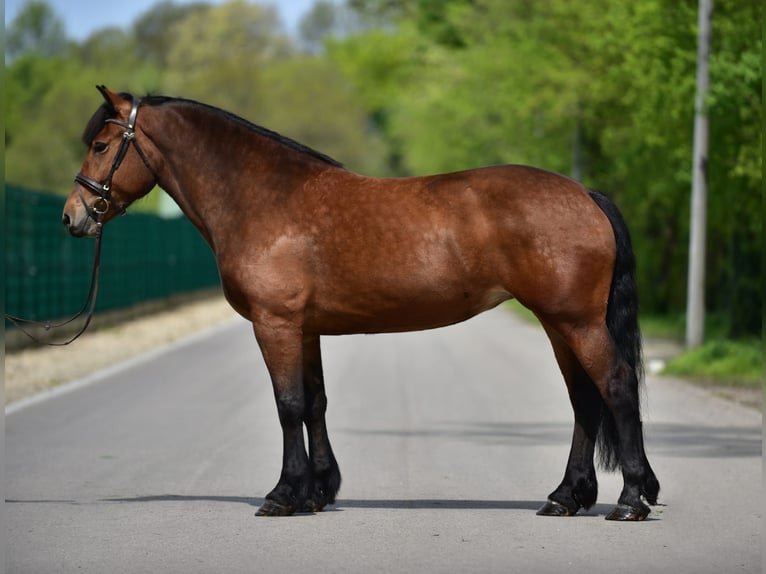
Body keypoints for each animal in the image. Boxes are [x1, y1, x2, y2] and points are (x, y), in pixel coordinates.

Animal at [63, 86, 660, 521]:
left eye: (100, 145)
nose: (73, 216)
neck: (265, 198)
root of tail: (585, 195)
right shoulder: (305, 329)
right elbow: (315, 404)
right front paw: (318, 491)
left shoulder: (275, 325)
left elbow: (288, 406)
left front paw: (283, 495)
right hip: (560, 325)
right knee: (584, 401)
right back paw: (566, 497)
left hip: (576, 322)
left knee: (615, 386)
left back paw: (631, 500)